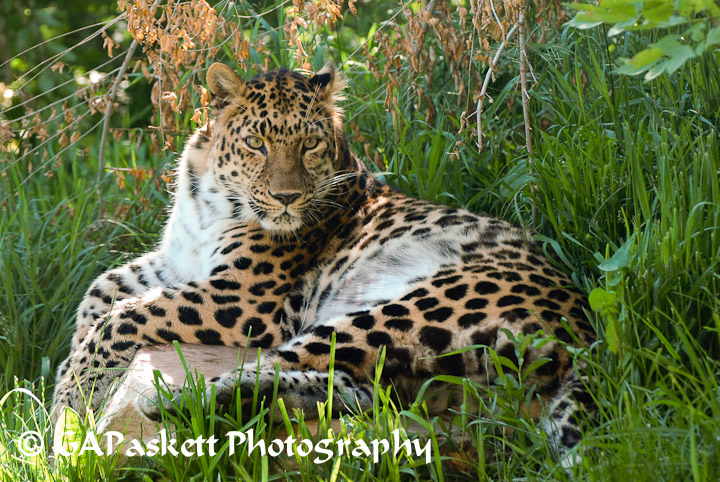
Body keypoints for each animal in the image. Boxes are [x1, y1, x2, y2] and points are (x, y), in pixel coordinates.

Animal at [51, 61, 596, 459]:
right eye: (257, 143)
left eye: (309, 143)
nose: (287, 198)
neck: (210, 195)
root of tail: (587, 328)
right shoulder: (177, 262)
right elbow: (100, 292)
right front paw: (64, 384)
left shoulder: (240, 298)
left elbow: (125, 316)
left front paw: (70, 403)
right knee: (363, 392)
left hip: (414, 306)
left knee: (303, 365)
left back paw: (186, 401)